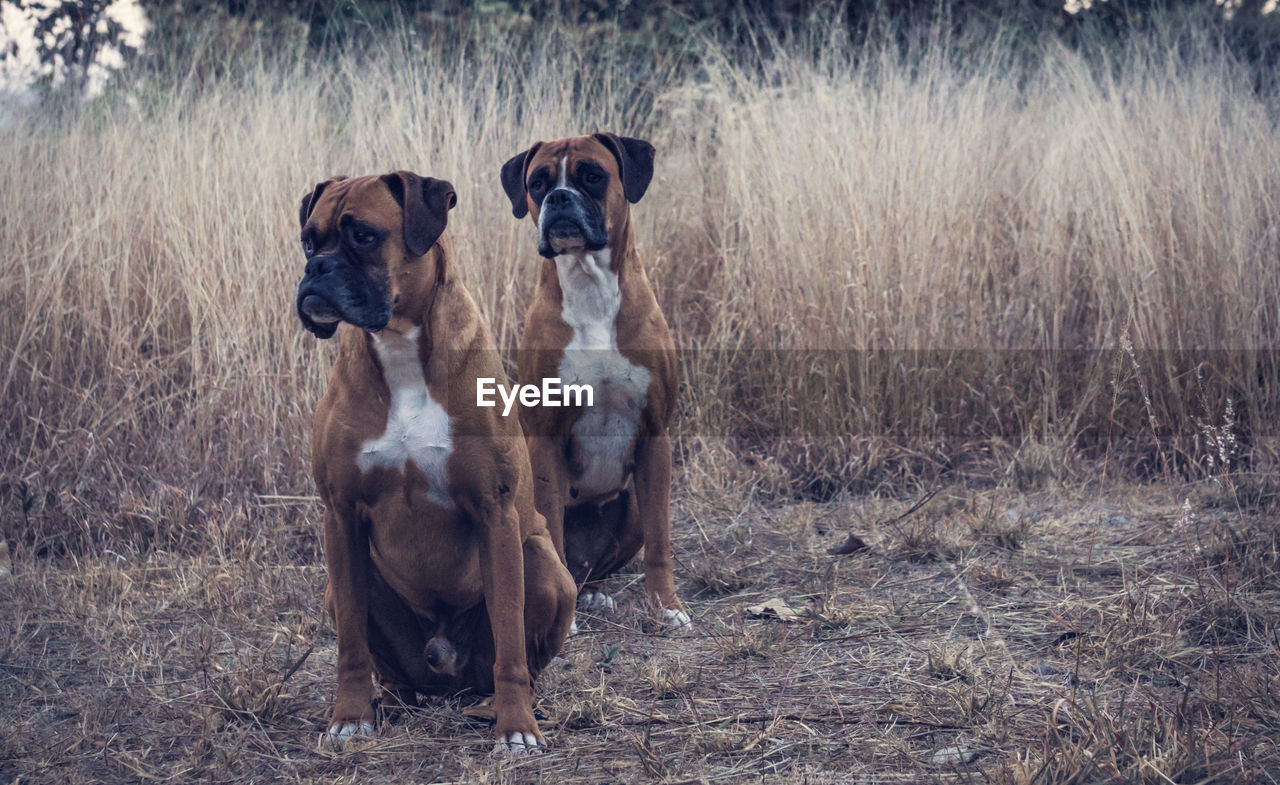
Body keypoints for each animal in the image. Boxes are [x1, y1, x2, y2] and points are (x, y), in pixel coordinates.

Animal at [294, 167, 576, 747]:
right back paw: (388, 702)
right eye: (309, 241)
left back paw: (495, 704)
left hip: (544, 566)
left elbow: (510, 641)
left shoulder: (495, 513)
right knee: (388, 667)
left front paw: (517, 727)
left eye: (363, 236)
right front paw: (348, 716)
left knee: (516, 655)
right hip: (343, 589)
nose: (315, 268)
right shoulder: (340, 515)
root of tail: (445, 670)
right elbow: (350, 643)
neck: (400, 347)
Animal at [496, 133, 691, 624]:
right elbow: (552, 525)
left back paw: (594, 592)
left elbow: (661, 540)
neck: (590, 290)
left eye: (592, 175)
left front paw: (666, 606)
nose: (559, 198)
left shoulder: (655, 436)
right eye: (537, 182)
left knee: (596, 567)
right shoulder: (545, 441)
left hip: (634, 504)